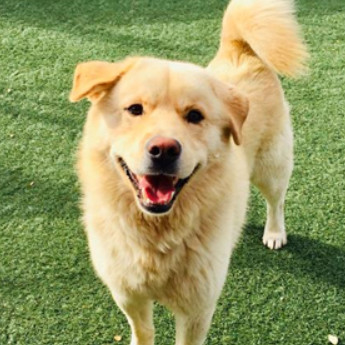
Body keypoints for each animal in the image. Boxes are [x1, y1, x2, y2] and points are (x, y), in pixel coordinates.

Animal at [68, 0, 306, 344]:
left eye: (195, 116)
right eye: (135, 109)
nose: (164, 149)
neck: (157, 234)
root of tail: (241, 48)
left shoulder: (198, 308)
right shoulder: (129, 296)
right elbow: (142, 332)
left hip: (272, 166)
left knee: (277, 201)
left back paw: (274, 233)